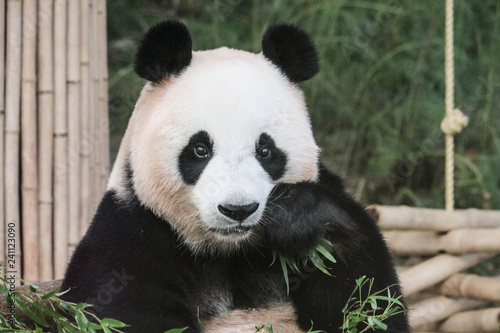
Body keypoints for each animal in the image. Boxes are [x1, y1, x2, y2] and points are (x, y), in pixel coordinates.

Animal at [59, 21, 410, 332]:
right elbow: (130, 312)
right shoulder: (130, 235)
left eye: (265, 150)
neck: (231, 252)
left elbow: (368, 301)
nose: (238, 210)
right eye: (200, 149)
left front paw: (299, 218)